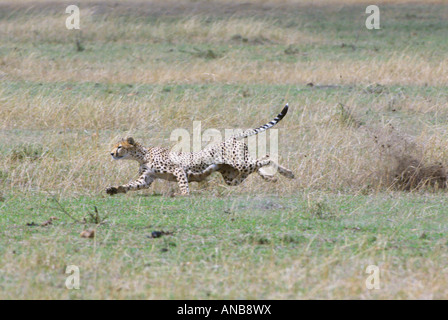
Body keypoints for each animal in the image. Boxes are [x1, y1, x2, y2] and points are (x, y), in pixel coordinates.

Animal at [105, 104, 294, 196]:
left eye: (119, 147)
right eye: (114, 147)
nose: (112, 153)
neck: (143, 155)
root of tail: (231, 138)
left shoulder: (178, 169)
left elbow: (183, 184)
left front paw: (184, 195)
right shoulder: (146, 179)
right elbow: (131, 185)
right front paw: (115, 189)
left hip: (240, 163)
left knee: (267, 157)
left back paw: (288, 173)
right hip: (232, 176)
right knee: (253, 167)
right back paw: (270, 178)